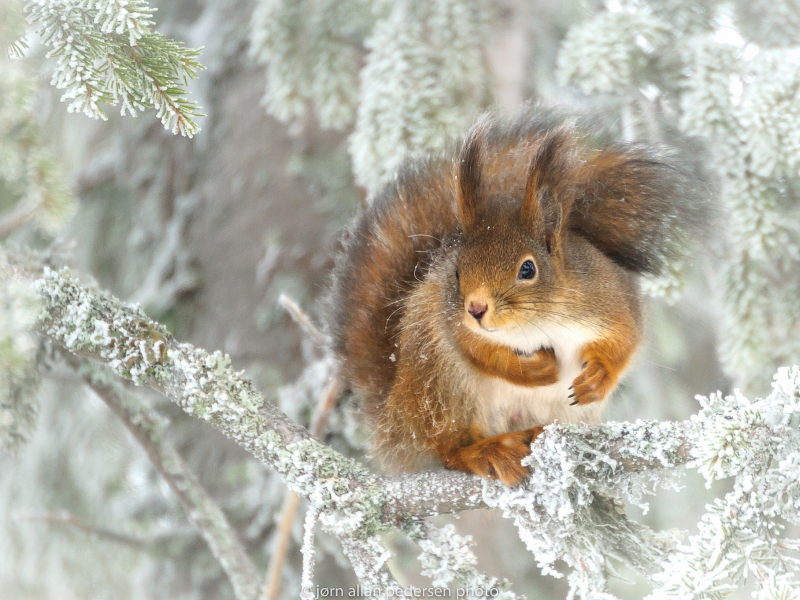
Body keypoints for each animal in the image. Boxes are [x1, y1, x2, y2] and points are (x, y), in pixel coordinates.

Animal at [324, 110, 708, 486]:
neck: (538, 322)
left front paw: (598, 377)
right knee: (448, 448)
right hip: (438, 385)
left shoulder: (610, 300)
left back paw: (535, 435)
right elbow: (476, 349)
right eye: (457, 272)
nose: (476, 309)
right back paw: (487, 451)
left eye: (528, 269)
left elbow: (624, 341)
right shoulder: (449, 322)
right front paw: (534, 369)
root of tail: (395, 422)